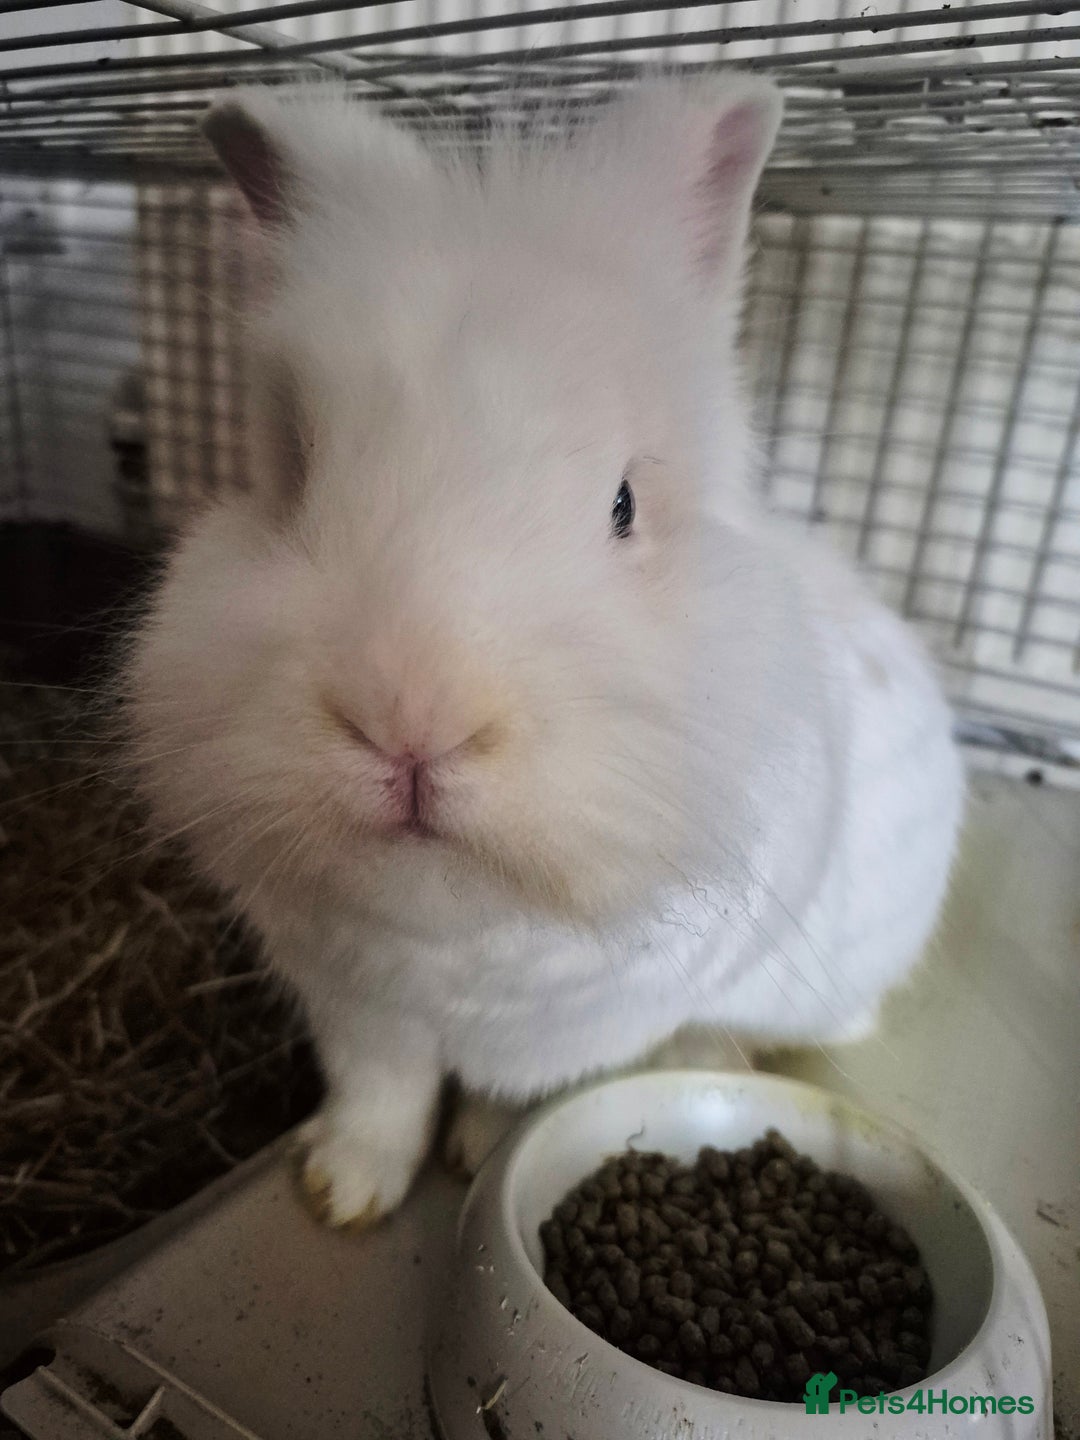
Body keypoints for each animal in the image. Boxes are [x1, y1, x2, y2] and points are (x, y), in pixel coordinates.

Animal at [125, 76, 963, 1228]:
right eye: (296, 473)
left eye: (623, 505)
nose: (411, 718)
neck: (447, 918)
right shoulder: (357, 1009)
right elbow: (380, 1090)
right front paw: (343, 1190)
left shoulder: (572, 1032)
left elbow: (514, 1093)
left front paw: (479, 1152)